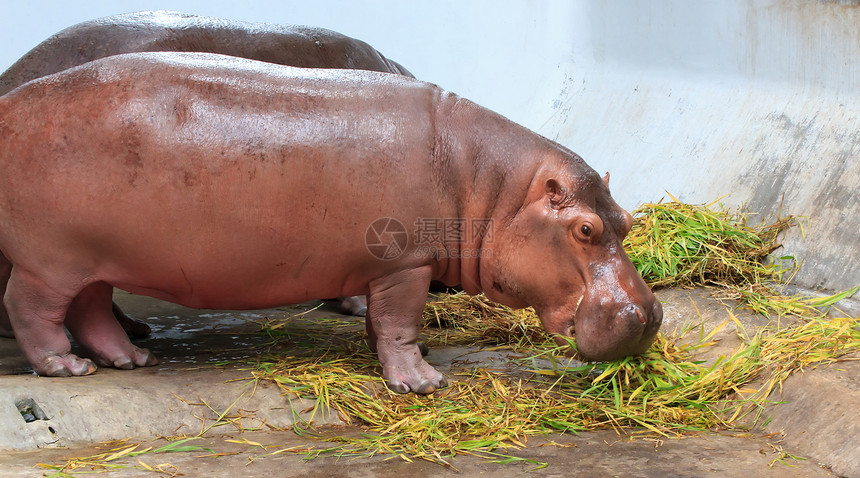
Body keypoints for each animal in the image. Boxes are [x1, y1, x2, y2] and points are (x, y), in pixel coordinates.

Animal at [0, 51, 660, 396]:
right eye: (584, 230)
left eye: (627, 220)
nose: (651, 315)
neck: (494, 187)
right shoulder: (406, 264)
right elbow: (398, 325)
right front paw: (422, 383)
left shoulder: (386, 268)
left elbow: (381, 325)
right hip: (50, 260)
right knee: (30, 308)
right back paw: (65, 367)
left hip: (93, 259)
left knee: (90, 309)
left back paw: (131, 361)